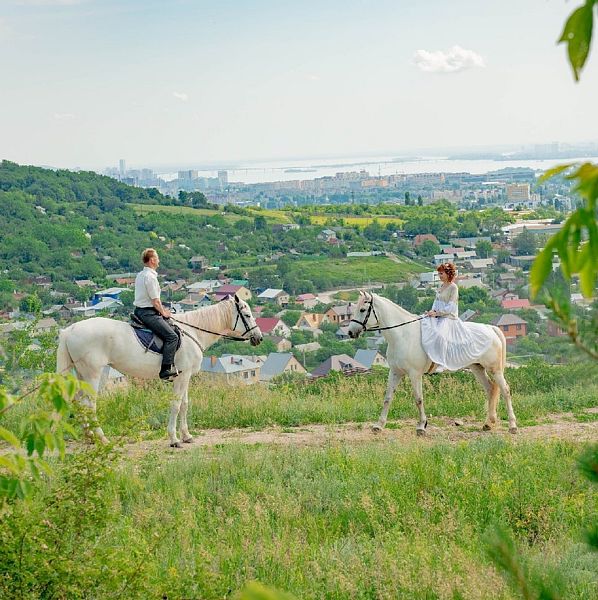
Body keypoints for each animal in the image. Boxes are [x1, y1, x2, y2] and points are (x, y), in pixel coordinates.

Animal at [56, 295, 263, 447]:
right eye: (247, 315)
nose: (259, 338)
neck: (193, 332)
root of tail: (69, 330)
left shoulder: (185, 376)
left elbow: (185, 404)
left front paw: (187, 436)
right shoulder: (182, 377)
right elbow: (176, 405)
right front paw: (174, 439)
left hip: (81, 373)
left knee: (80, 402)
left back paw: (89, 437)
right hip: (92, 374)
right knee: (90, 404)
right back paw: (102, 438)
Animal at [347, 291, 517, 437]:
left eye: (362, 309)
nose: (350, 332)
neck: (402, 335)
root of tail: (491, 328)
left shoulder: (414, 374)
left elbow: (418, 399)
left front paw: (421, 426)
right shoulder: (395, 372)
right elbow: (388, 398)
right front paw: (378, 426)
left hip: (494, 370)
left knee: (505, 390)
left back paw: (512, 426)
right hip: (478, 368)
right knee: (490, 389)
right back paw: (488, 424)